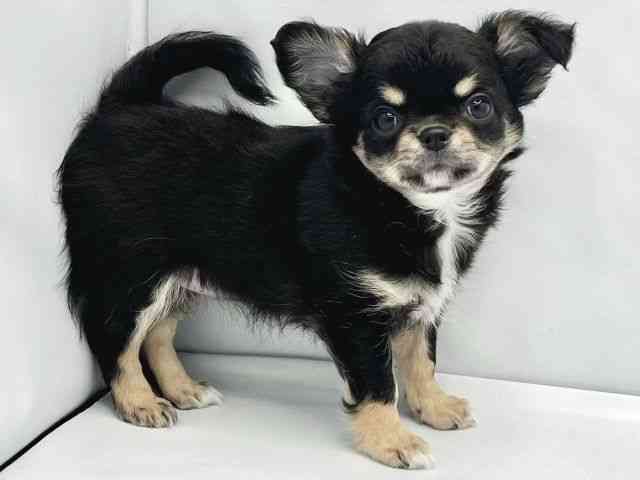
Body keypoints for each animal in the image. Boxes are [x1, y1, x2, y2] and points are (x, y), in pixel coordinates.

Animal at [58, 10, 574, 469]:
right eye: (384, 118)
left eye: (478, 105)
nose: (433, 133)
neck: (407, 208)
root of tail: (120, 106)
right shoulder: (355, 318)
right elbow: (379, 384)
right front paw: (392, 441)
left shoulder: (421, 306)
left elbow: (421, 361)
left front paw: (434, 407)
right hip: (130, 276)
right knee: (116, 341)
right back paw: (138, 402)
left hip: (182, 279)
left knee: (158, 336)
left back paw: (183, 390)